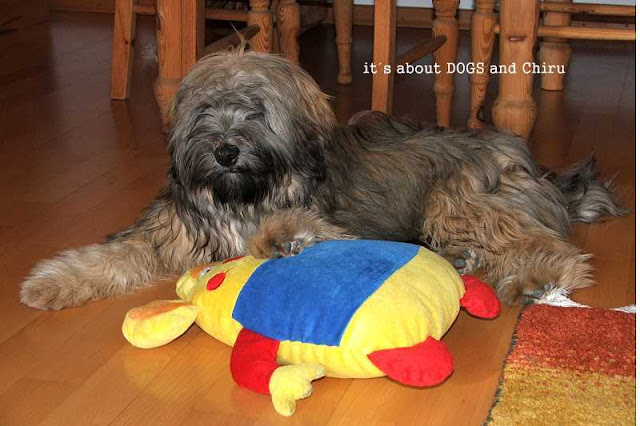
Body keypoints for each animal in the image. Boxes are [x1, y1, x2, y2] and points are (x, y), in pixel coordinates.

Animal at [20, 50, 624, 310]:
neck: (243, 194)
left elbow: (304, 230)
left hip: (456, 196)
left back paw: (535, 278)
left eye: (256, 110)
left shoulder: (338, 225)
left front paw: (281, 236)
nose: (225, 150)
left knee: (544, 245)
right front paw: (49, 283)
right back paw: (469, 261)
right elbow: (109, 255)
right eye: (207, 109)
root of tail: (531, 162)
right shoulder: (171, 231)